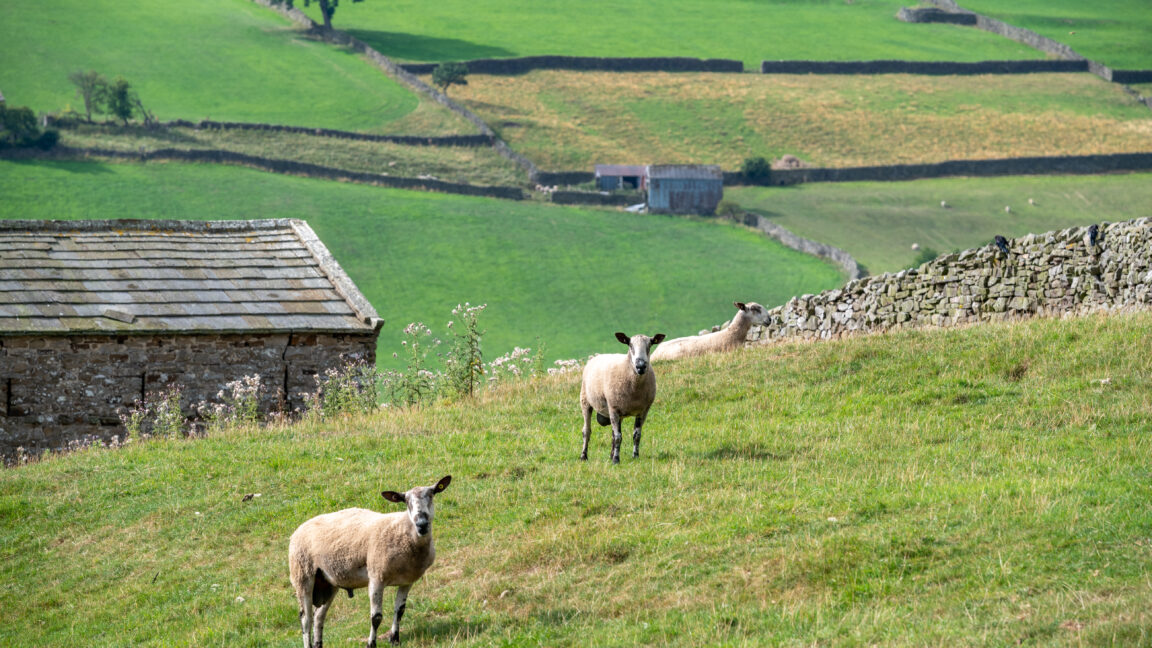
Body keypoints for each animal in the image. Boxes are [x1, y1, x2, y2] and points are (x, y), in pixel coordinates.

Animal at [286, 475, 449, 645]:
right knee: (306, 620)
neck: (403, 530)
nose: (422, 524)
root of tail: (297, 531)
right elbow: (376, 618)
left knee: (319, 616)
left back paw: (318, 644)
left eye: (432, 495)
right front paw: (371, 643)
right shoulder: (376, 577)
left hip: (328, 582)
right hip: (302, 576)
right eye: (406, 501)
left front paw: (394, 639)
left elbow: (400, 611)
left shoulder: (407, 581)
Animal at [576, 329, 668, 461]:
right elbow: (619, 436)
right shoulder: (614, 408)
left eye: (650, 345)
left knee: (613, 434)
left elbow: (636, 435)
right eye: (630, 345)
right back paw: (584, 456)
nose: (641, 366)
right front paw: (616, 460)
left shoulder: (643, 411)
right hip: (585, 400)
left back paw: (611, 455)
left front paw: (635, 456)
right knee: (586, 431)